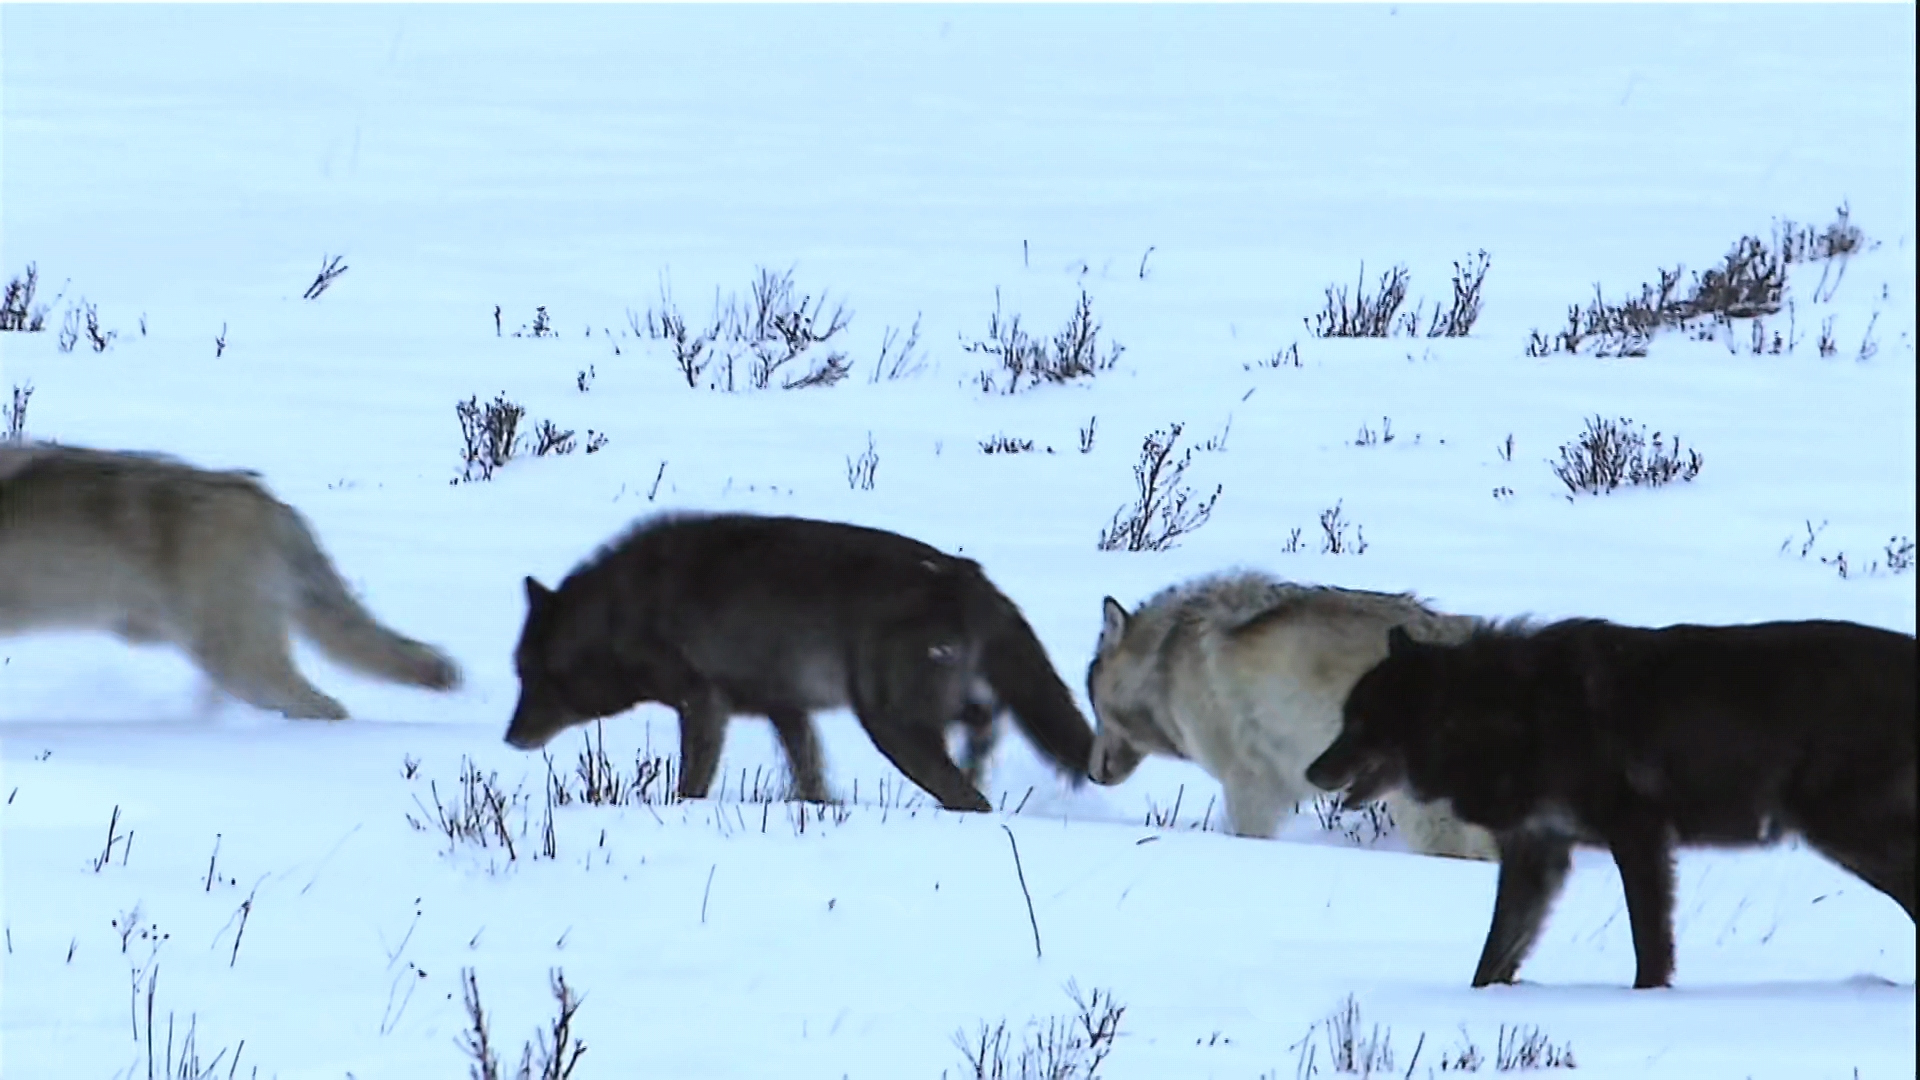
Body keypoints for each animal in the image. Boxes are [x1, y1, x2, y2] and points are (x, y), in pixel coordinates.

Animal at [503, 507, 1098, 807]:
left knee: (969, 794)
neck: (619, 612)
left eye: (533, 676)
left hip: (891, 727)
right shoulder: (786, 710)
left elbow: (691, 780)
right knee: (984, 730)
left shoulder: (702, 701)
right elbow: (809, 776)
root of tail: (967, 576)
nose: (510, 738)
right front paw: (819, 811)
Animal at [1305, 614, 1920, 983]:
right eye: (1345, 718)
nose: (1312, 771)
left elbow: (1649, 944)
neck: (1514, 715)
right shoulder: (1538, 852)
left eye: (1361, 725)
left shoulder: (1638, 836)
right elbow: (1495, 953)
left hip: (1849, 835)